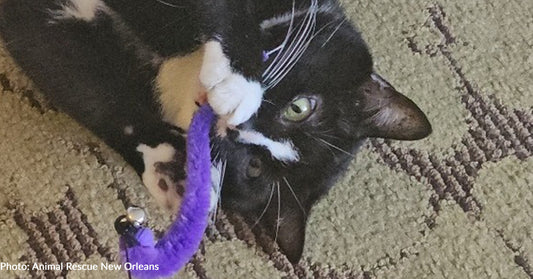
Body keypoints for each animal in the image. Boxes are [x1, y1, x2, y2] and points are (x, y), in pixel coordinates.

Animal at [0, 0, 430, 262]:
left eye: (253, 168)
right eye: (300, 108)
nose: (235, 126)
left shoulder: (48, 39)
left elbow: (86, 86)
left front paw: (172, 170)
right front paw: (239, 83)